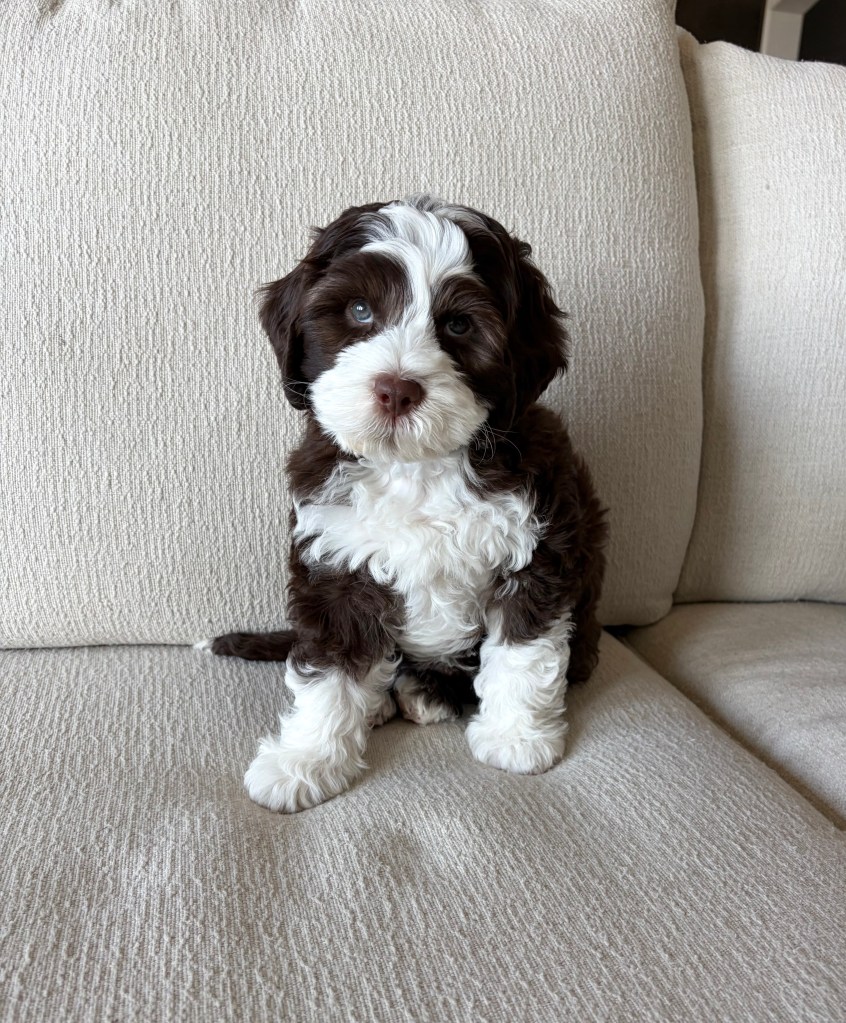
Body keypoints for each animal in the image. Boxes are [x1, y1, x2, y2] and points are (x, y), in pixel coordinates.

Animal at [202, 196, 606, 812]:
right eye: (360, 310)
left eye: (458, 324)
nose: (396, 389)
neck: (415, 467)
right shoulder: (335, 558)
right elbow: (328, 666)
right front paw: (307, 761)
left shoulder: (539, 543)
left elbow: (523, 648)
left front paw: (516, 738)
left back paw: (427, 693)